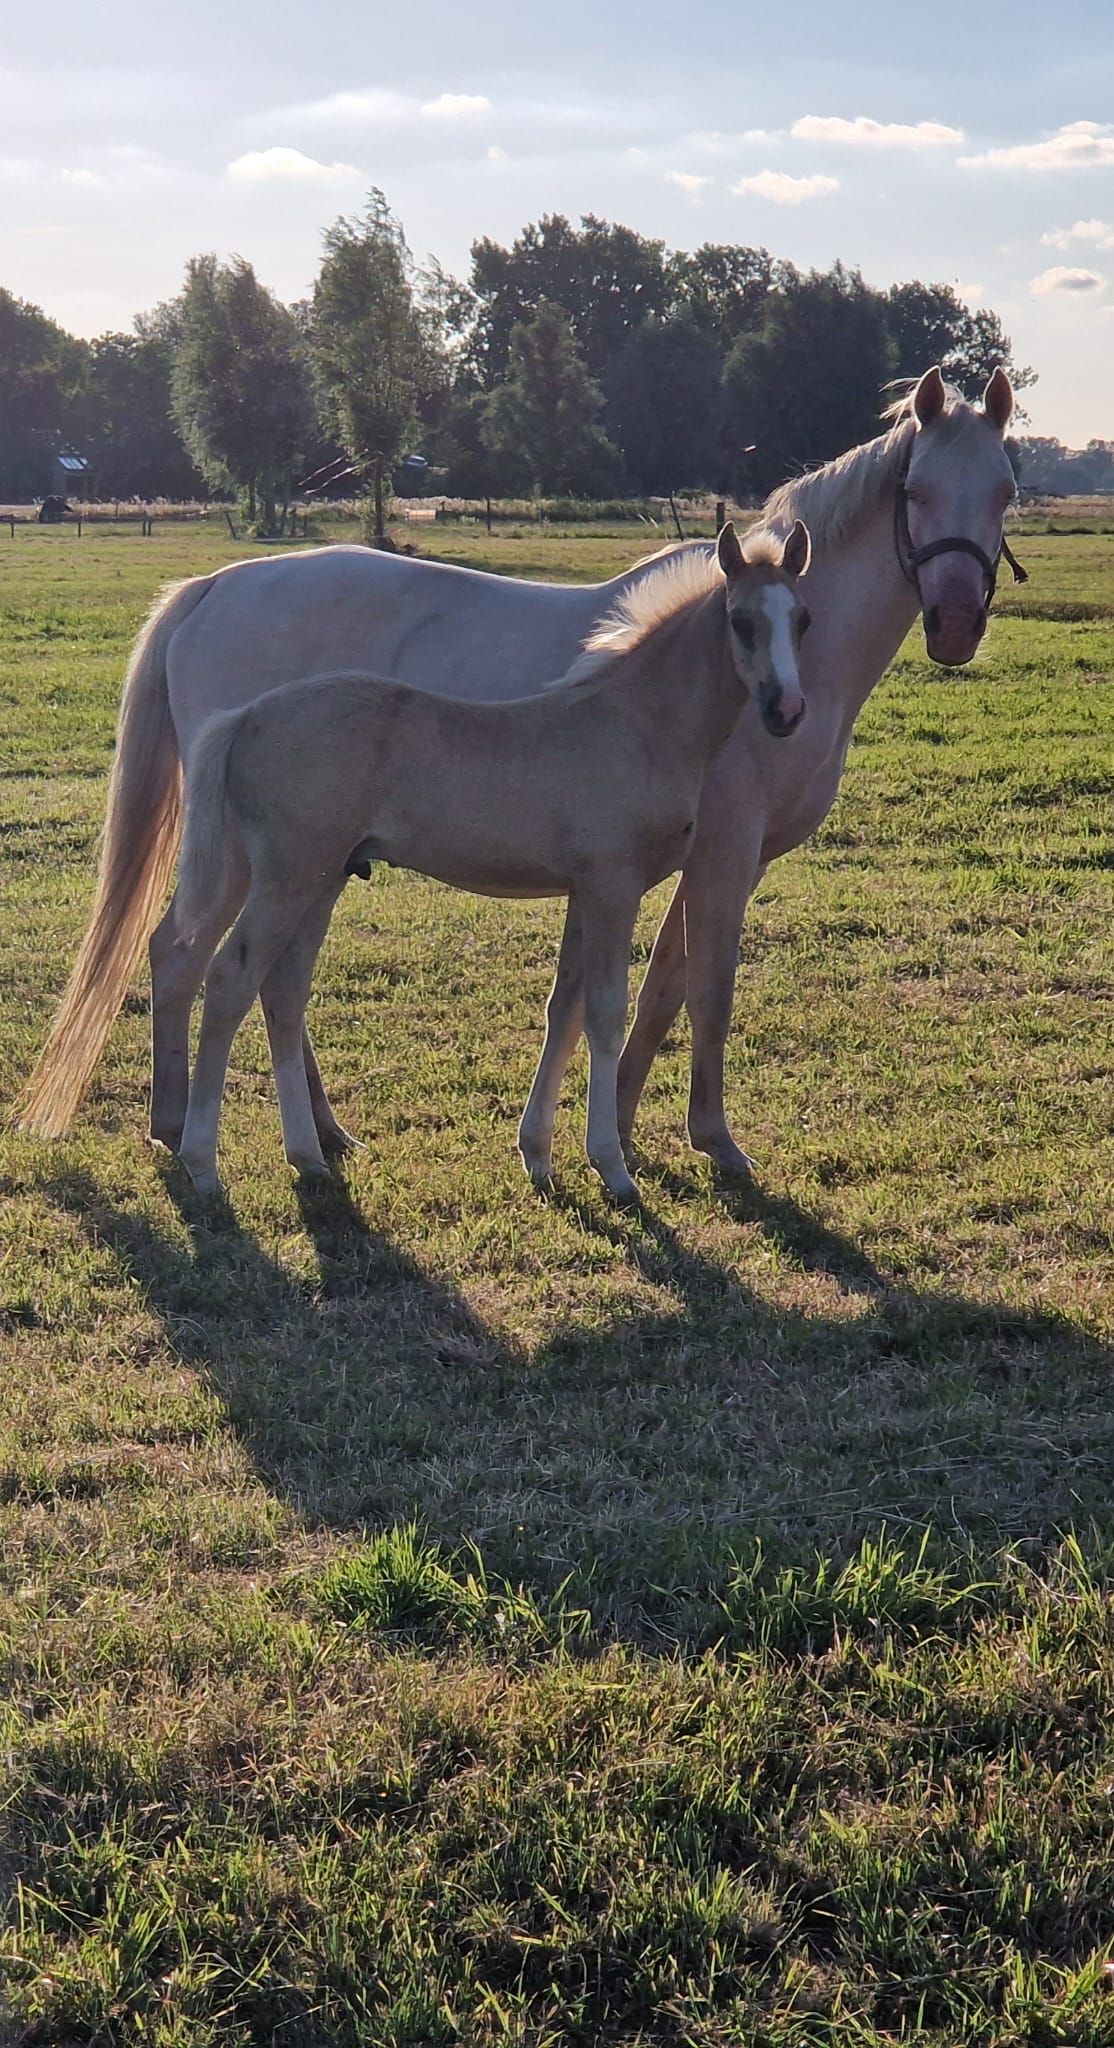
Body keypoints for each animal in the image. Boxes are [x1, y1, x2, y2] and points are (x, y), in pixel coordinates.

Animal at [169, 522, 810, 1198]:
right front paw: (611, 1167)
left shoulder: (582, 890)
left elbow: (565, 1008)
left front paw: (539, 1157)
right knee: (230, 979)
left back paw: (308, 1155)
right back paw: (202, 1162)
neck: (636, 723)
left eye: (803, 620)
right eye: (741, 621)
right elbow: (605, 1014)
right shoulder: (614, 885)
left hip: (319, 879)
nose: (786, 710)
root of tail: (245, 716)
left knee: (284, 990)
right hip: (286, 877)